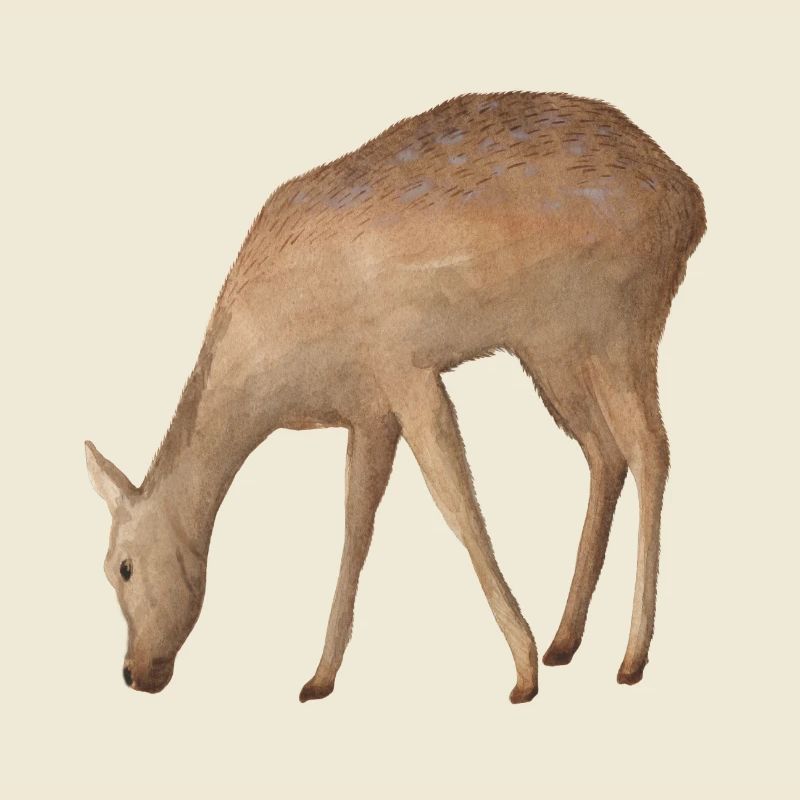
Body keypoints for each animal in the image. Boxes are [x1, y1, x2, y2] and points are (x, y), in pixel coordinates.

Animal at [85, 92, 705, 703]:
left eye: (123, 567)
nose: (135, 673)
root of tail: (692, 204)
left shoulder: (404, 366)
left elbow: (457, 506)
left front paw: (522, 674)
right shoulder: (368, 410)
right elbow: (356, 526)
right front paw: (319, 677)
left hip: (621, 320)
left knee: (651, 448)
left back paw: (630, 657)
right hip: (549, 345)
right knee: (604, 451)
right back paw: (565, 641)